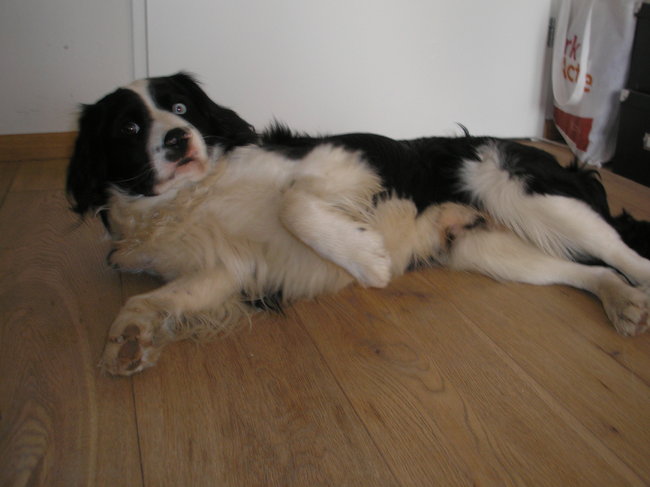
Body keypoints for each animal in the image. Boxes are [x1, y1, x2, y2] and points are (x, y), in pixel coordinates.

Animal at [67, 72, 650, 376]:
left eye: (182, 107)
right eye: (129, 127)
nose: (177, 139)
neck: (194, 194)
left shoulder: (344, 159)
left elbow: (294, 203)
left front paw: (368, 258)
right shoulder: (222, 270)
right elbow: (153, 300)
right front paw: (128, 340)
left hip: (519, 189)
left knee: (626, 255)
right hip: (485, 247)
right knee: (586, 271)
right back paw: (624, 303)